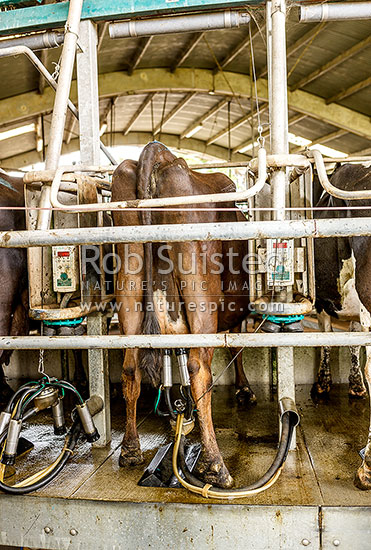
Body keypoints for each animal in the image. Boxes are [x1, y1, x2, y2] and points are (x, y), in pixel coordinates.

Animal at [110, 141, 256, 488]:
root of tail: (160, 153)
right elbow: (236, 346)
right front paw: (244, 389)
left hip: (129, 284)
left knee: (130, 369)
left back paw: (130, 451)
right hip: (199, 292)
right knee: (198, 368)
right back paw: (214, 465)